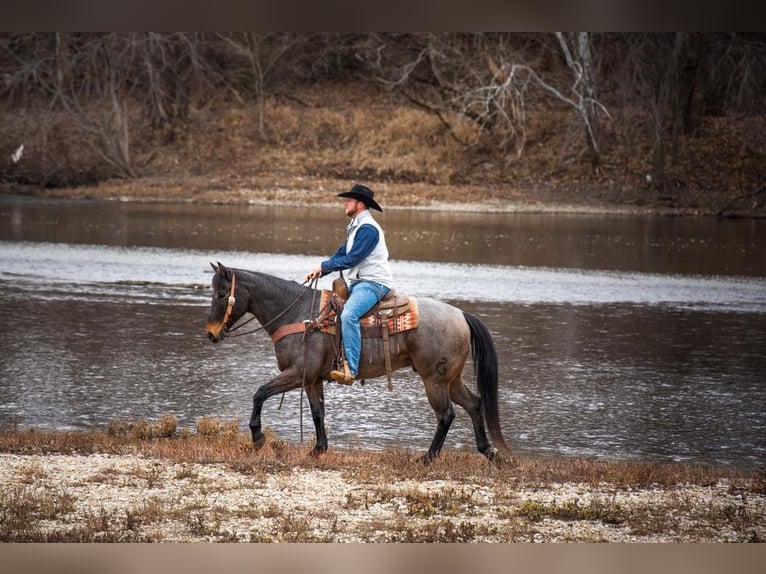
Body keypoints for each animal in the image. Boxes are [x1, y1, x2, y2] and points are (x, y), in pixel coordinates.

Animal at [207, 262, 512, 464]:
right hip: (451, 378)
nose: (210, 333)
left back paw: (427, 458)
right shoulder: (312, 380)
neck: (299, 315)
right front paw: (318, 449)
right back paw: (488, 451)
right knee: (474, 404)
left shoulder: (296, 374)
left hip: (434, 380)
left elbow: (260, 393)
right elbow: (318, 413)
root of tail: (461, 314)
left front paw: (257, 437)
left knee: (446, 414)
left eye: (221, 294)